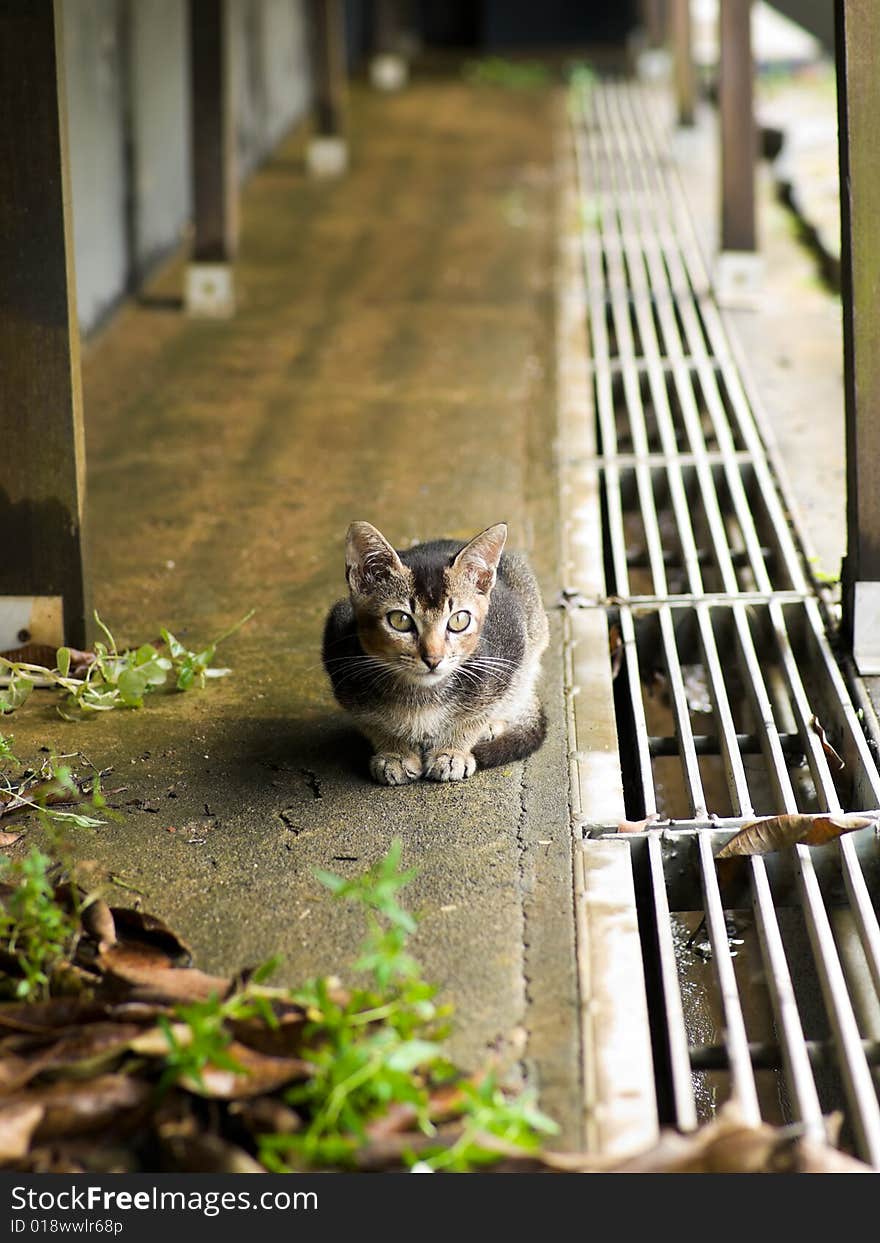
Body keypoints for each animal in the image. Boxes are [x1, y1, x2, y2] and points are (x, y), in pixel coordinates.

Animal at [320, 519, 546, 780]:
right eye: (400, 620)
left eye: (459, 620)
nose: (433, 658)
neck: (421, 696)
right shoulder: (340, 655)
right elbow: (372, 722)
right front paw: (395, 753)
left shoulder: (509, 646)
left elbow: (476, 715)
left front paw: (453, 752)